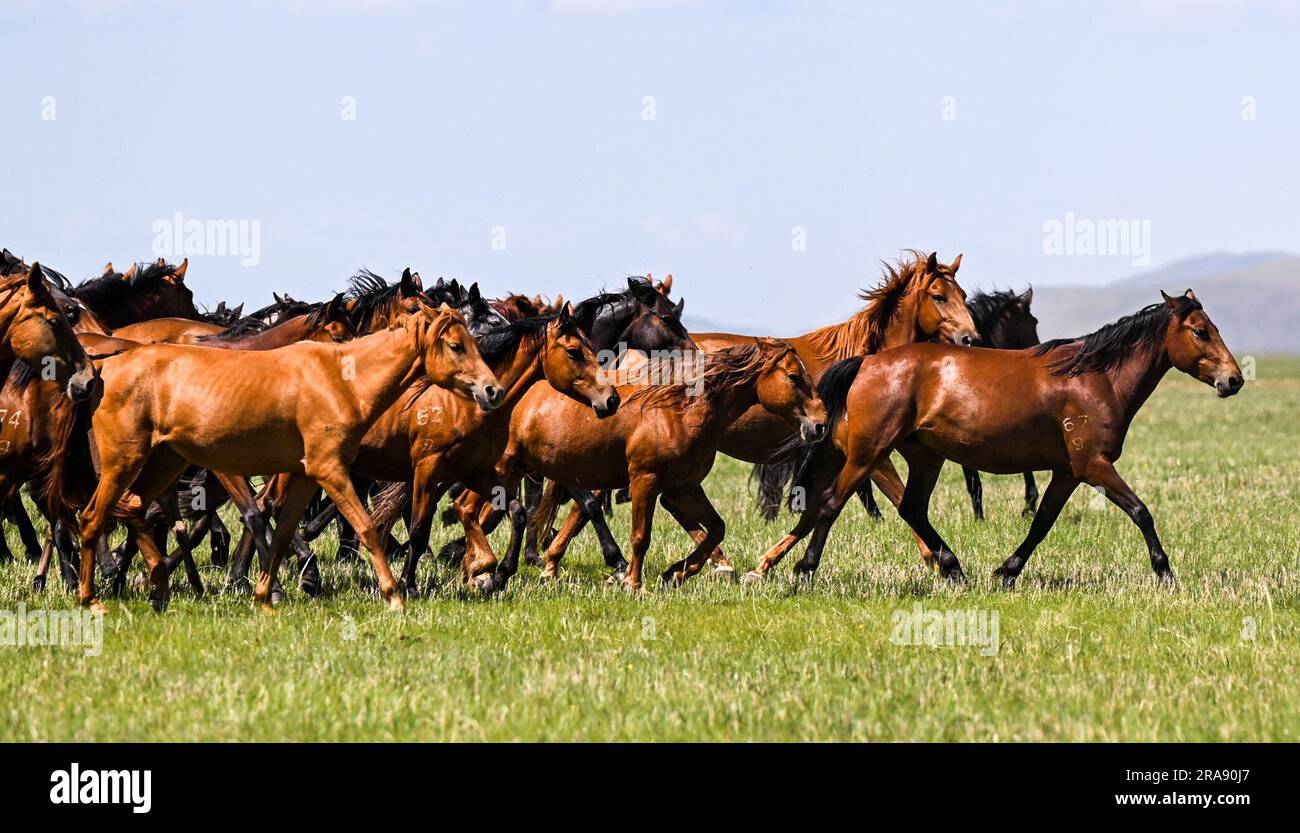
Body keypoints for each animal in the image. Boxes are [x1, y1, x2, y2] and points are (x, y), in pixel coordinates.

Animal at [73, 298, 501, 610]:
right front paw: (394, 595)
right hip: (124, 462)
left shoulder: (305, 478)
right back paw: (92, 598)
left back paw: (157, 585)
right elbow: (363, 527)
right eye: (455, 345)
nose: (492, 390)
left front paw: (266, 596)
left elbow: (280, 535)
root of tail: (105, 369)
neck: (342, 381)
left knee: (133, 508)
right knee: (93, 516)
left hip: (164, 463)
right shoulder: (331, 472)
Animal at [496, 340, 821, 592]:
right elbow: (641, 537)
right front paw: (634, 584)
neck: (680, 412)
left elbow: (717, 528)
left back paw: (544, 567)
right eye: (794, 377)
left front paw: (676, 573)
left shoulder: (684, 488)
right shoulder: (645, 481)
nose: (820, 424)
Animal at [754, 292, 1248, 584]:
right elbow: (1141, 511)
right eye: (1200, 331)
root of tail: (867, 362)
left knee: (911, 508)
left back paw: (954, 568)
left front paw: (1007, 571)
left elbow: (1042, 521)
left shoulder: (1068, 472)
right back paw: (805, 568)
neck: (1096, 378)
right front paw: (1165, 573)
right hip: (868, 454)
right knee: (831, 505)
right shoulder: (1093, 466)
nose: (1235, 379)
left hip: (924, 457)